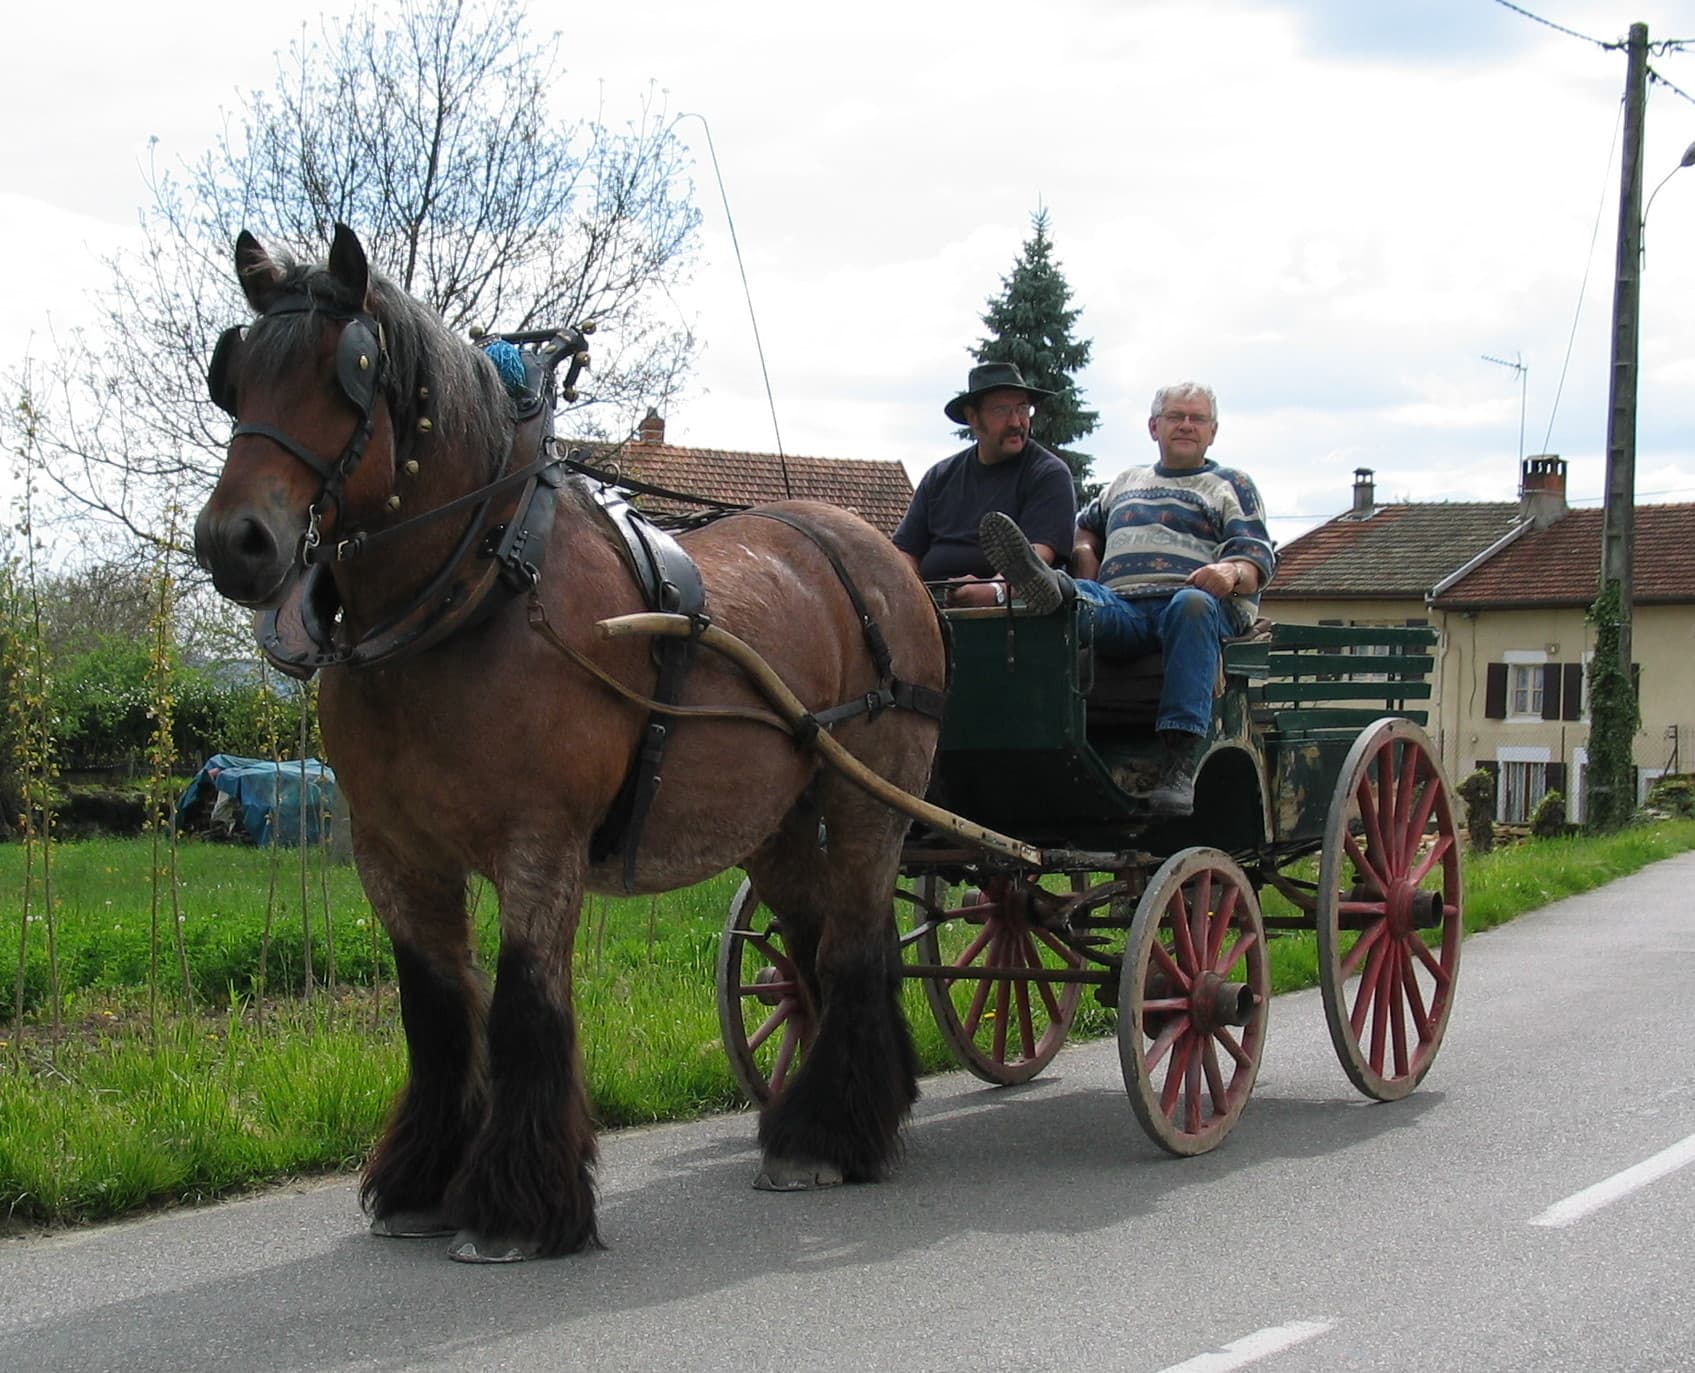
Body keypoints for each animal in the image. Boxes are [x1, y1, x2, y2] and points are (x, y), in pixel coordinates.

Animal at [193, 224, 946, 1262]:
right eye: (235, 373)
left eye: (346, 369)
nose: (237, 542)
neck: (474, 593)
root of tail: (879, 558)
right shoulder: (393, 853)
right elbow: (435, 1008)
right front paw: (421, 1184)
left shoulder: (537, 843)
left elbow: (522, 1004)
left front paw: (515, 1208)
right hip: (779, 816)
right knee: (815, 941)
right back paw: (852, 1108)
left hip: (869, 797)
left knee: (860, 944)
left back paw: (826, 1135)